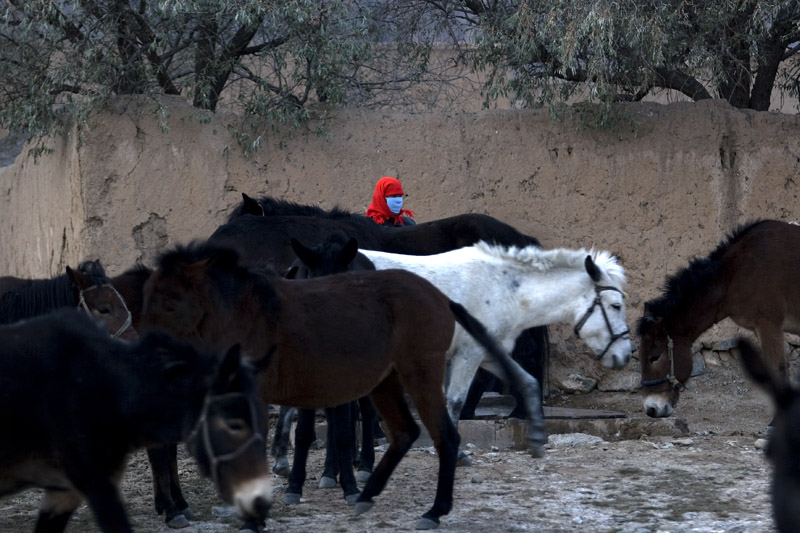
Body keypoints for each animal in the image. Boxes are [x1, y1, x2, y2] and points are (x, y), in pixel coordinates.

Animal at [144, 243, 544, 528]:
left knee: (444, 435)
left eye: (171, 302)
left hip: (420, 375)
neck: (249, 316)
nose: (144, 348)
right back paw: (366, 495)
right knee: (405, 432)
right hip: (386, 382)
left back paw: (433, 511)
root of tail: (440, 297)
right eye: (148, 299)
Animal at [360, 241, 636, 428]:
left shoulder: (489, 354)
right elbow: (455, 401)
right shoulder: (468, 354)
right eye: (615, 306)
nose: (625, 355)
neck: (500, 289)